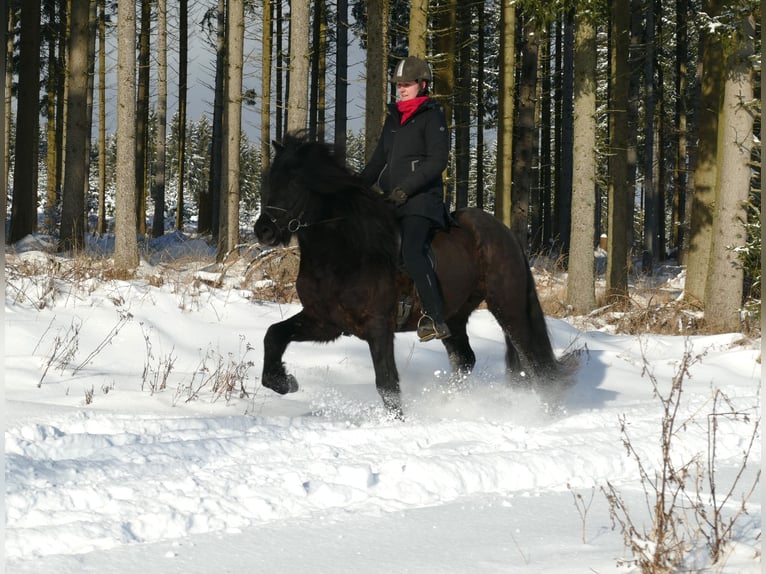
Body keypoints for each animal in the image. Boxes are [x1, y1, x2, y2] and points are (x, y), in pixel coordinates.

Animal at [256, 134, 564, 418]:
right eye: (270, 180)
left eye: (295, 183)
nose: (263, 231)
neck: (343, 253)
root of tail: (504, 232)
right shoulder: (325, 322)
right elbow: (273, 335)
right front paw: (285, 382)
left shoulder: (378, 325)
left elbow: (387, 383)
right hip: (454, 316)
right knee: (465, 359)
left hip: (508, 307)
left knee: (535, 361)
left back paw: (548, 413)